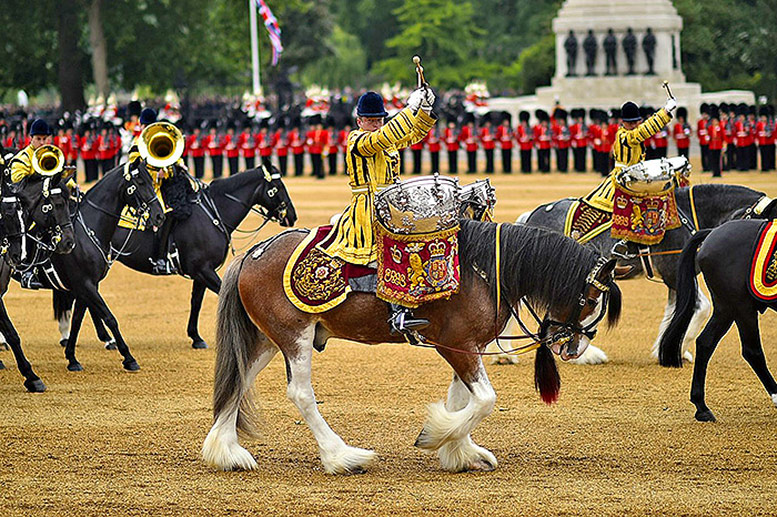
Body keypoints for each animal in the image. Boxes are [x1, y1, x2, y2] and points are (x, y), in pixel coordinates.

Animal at [53, 164, 298, 350]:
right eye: (277, 186)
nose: (292, 216)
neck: (213, 212)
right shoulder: (204, 270)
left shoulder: (201, 272)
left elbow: (196, 302)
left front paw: (196, 337)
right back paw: (102, 338)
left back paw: (105, 338)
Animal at [203, 218, 620, 472]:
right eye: (591, 299)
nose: (574, 347)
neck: (482, 270)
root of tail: (253, 253)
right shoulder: (456, 345)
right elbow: (484, 400)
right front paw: (437, 434)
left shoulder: (463, 346)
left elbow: (462, 400)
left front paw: (460, 451)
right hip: (295, 338)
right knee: (301, 394)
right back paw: (341, 456)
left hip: (266, 340)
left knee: (238, 382)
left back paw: (226, 452)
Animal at [516, 183, 768, 364]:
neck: (688, 217)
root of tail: (531, 216)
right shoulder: (674, 275)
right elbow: (699, 307)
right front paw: (671, 350)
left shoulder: (674, 280)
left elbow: (677, 309)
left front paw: (668, 347)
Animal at [656, 214, 776, 420]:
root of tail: (713, 232)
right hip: (740, 306)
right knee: (751, 351)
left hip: (726, 308)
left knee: (705, 342)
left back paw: (701, 407)